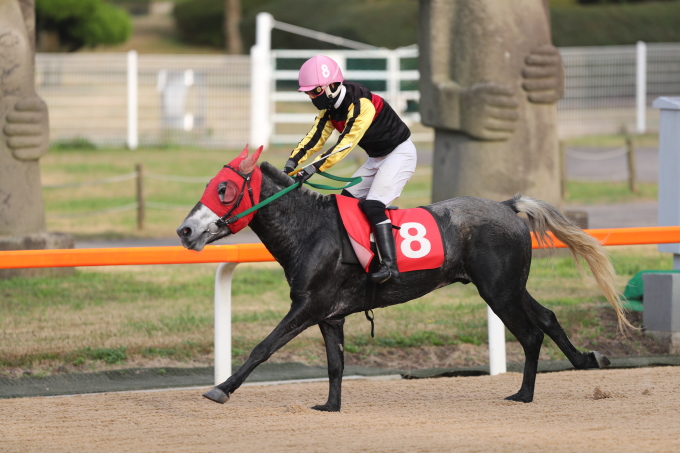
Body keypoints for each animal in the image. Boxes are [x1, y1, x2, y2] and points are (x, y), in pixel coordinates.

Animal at [178, 147, 628, 412]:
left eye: (224, 188)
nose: (185, 230)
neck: (311, 230)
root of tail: (506, 205)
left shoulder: (307, 306)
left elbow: (264, 346)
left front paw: (221, 388)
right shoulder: (330, 315)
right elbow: (335, 364)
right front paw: (330, 405)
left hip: (498, 290)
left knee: (531, 334)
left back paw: (524, 393)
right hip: (510, 285)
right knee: (548, 316)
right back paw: (587, 360)